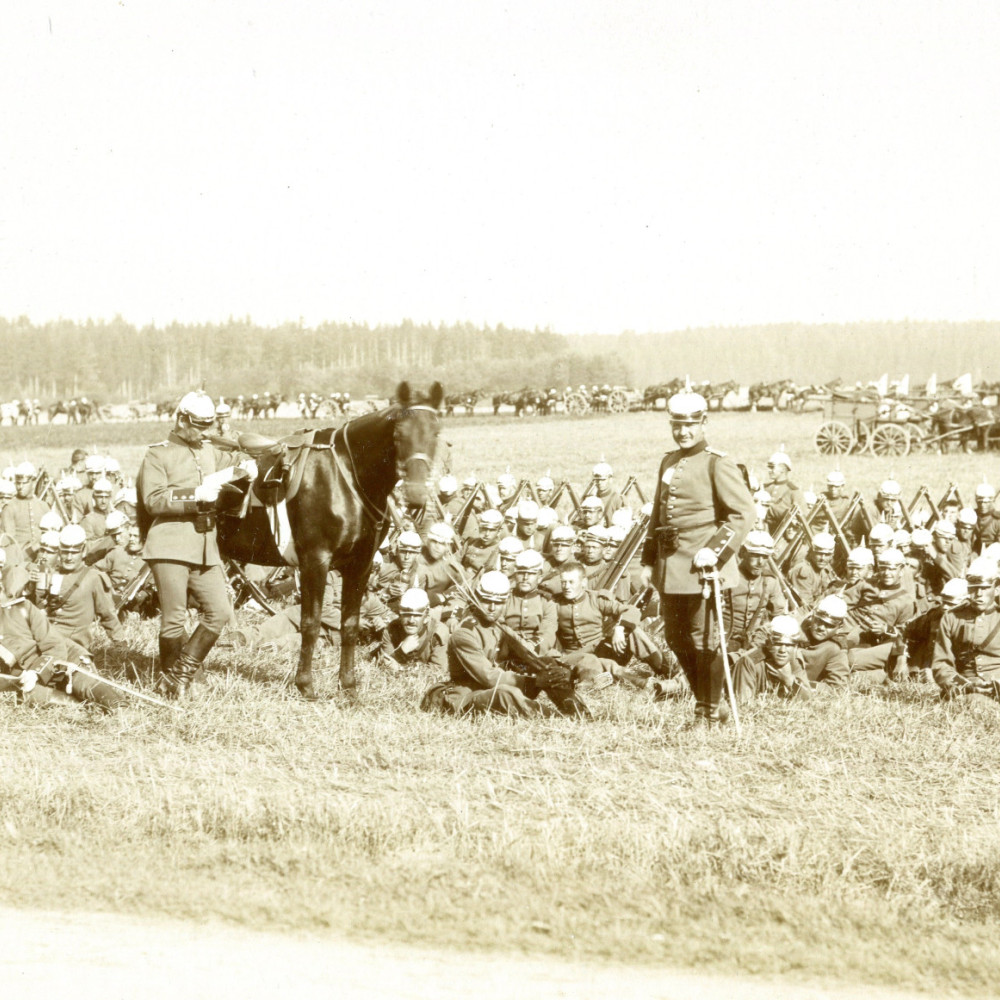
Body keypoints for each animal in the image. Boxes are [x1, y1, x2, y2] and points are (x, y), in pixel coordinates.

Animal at [221, 378, 444, 700]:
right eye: (399, 433)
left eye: (436, 432)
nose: (415, 494)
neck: (345, 476)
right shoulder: (315, 562)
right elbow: (310, 624)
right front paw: (305, 684)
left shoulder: (359, 566)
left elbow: (349, 625)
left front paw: (348, 685)